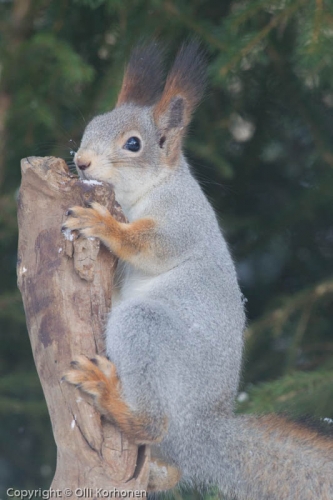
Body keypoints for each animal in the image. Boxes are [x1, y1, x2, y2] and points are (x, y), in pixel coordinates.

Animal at [62, 43, 332, 500]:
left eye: (133, 144)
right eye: (91, 126)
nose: (81, 162)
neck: (147, 191)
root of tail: (202, 433)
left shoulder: (182, 222)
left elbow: (149, 246)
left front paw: (102, 225)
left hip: (148, 330)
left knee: (153, 423)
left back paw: (110, 393)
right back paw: (157, 472)